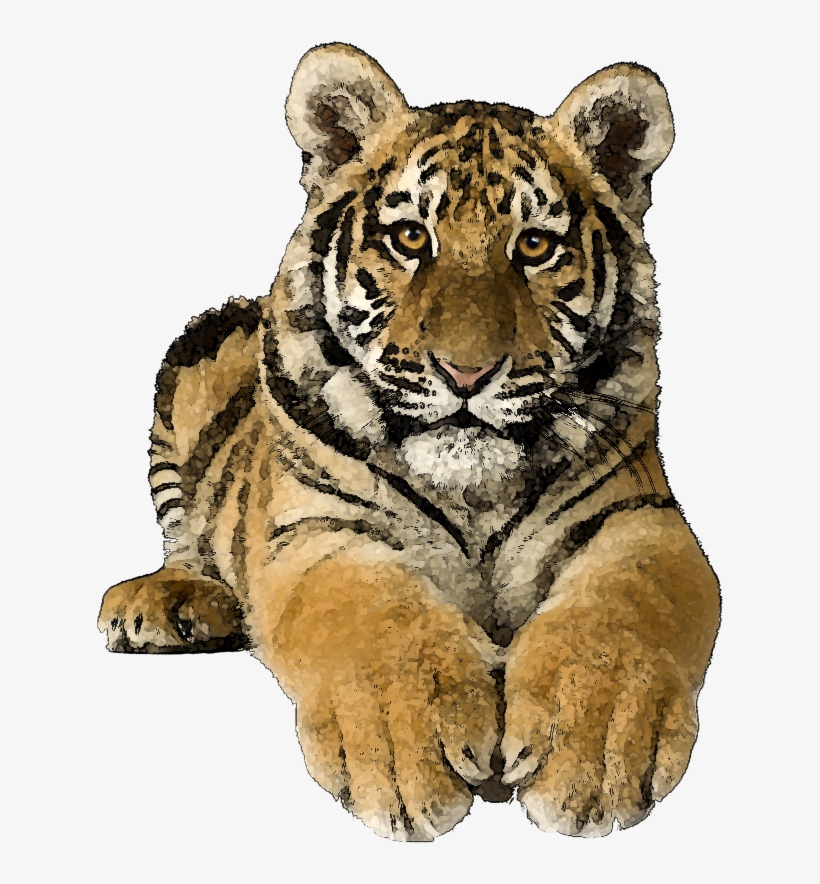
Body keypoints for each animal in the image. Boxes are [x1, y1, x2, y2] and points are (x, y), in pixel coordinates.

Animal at [98, 43, 720, 841]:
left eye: (535, 246)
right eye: (411, 239)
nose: (466, 372)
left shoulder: (638, 518)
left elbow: (621, 614)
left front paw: (594, 749)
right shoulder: (317, 529)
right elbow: (373, 617)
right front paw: (402, 748)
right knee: (186, 536)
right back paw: (167, 602)